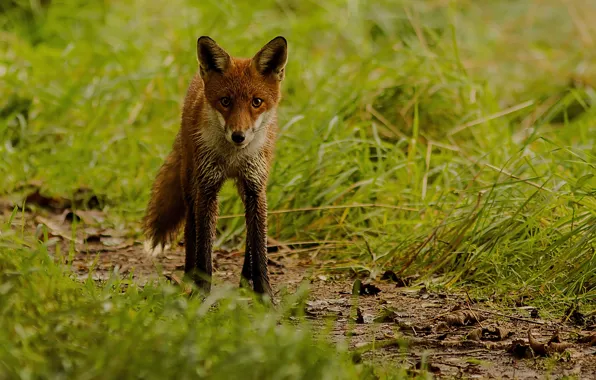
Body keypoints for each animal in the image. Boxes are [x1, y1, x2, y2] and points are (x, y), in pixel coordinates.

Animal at [142, 35, 286, 298]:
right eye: (225, 101)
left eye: (256, 102)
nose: (238, 136)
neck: (232, 158)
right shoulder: (207, 189)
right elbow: (204, 248)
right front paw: (201, 294)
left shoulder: (255, 187)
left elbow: (259, 247)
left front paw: (265, 296)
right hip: (190, 183)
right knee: (191, 229)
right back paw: (188, 277)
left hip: (246, 190)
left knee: (249, 235)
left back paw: (245, 280)